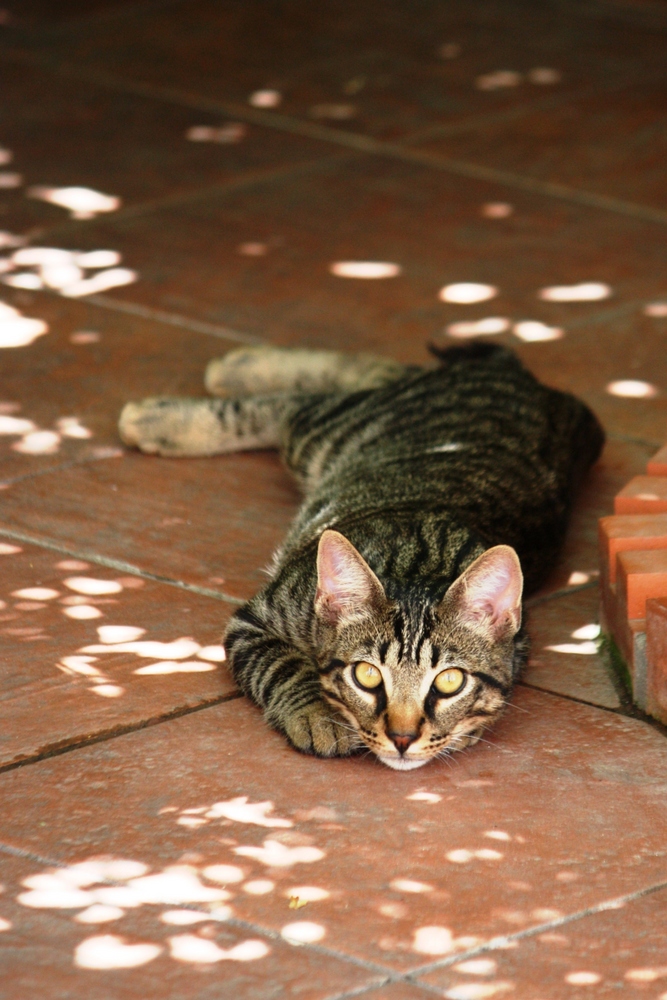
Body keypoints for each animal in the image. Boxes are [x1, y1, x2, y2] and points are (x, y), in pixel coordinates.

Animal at [120, 340, 604, 768]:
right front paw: (319, 712)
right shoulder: (254, 621)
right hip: (320, 433)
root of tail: (523, 379)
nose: (403, 736)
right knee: (292, 404)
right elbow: (285, 666)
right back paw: (181, 405)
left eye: (449, 682)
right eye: (367, 675)